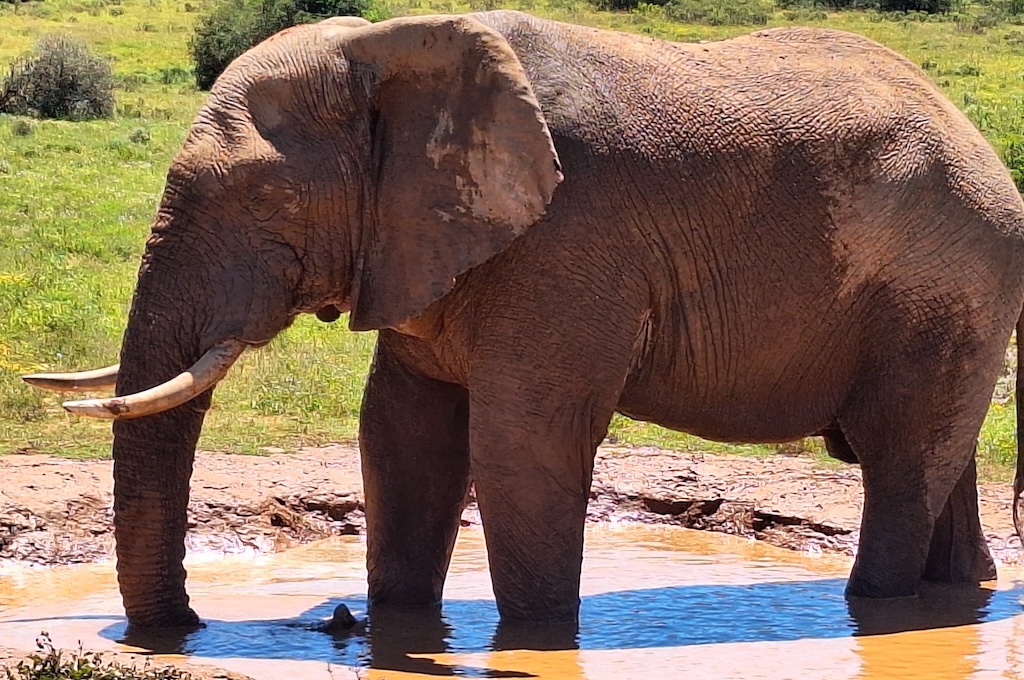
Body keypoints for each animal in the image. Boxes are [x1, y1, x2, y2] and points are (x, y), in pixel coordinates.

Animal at [23, 10, 1024, 630]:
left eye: (264, 200)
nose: (189, 625)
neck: (390, 49)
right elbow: (401, 434)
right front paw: (394, 630)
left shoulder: (569, 238)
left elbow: (520, 441)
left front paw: (537, 639)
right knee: (939, 461)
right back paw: (960, 597)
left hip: (948, 278)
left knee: (897, 463)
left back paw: (880, 612)